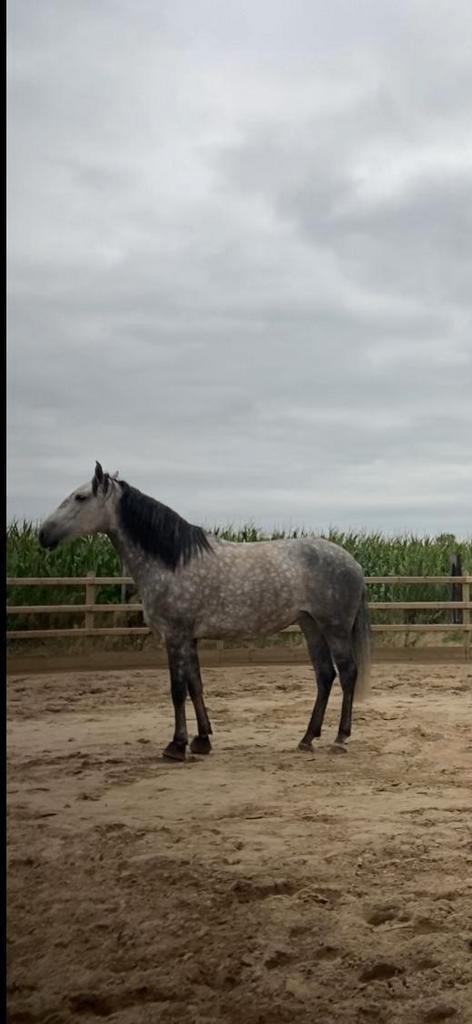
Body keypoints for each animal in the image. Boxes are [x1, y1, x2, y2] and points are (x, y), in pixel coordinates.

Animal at [38, 464, 370, 761]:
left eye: (80, 497)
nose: (43, 534)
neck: (172, 562)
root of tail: (353, 562)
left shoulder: (174, 636)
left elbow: (177, 689)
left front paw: (176, 745)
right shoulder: (189, 639)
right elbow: (195, 685)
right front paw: (201, 741)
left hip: (335, 627)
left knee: (347, 673)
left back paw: (340, 739)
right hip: (310, 625)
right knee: (325, 675)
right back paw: (307, 738)